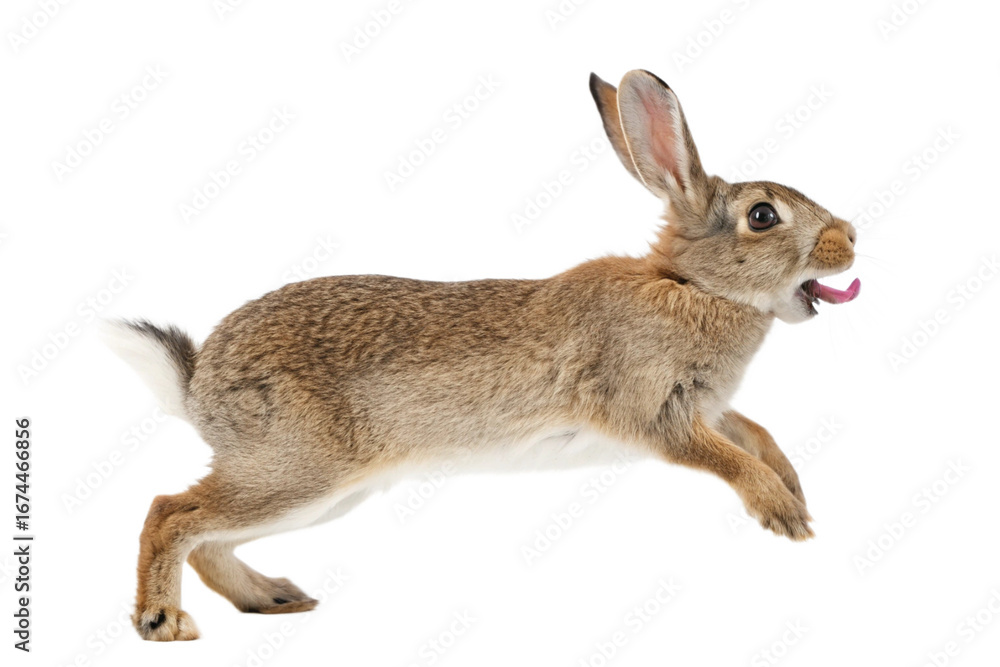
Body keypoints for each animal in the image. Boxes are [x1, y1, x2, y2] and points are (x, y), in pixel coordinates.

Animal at [102, 69, 860, 641]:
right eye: (763, 216)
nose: (850, 237)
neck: (691, 286)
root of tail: (198, 385)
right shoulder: (650, 410)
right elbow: (723, 457)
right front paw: (782, 514)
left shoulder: (709, 405)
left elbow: (753, 433)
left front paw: (793, 484)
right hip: (300, 471)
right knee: (172, 512)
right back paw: (163, 621)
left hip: (324, 496)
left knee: (209, 537)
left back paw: (272, 597)